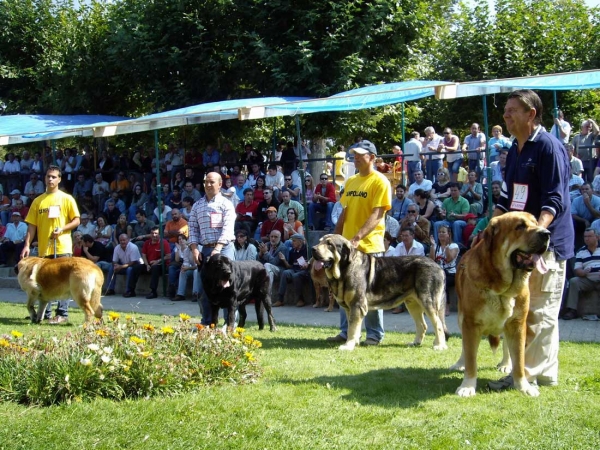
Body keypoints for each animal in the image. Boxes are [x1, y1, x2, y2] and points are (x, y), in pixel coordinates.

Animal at [454, 212, 548, 398]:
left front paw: (523, 386)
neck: (502, 289)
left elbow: (519, 360)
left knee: (507, 348)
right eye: (520, 226)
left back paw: (505, 364)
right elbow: (470, 358)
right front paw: (467, 386)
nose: (546, 233)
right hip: (461, 318)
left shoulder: (517, 324)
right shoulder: (470, 324)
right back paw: (460, 363)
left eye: (536, 223)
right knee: (465, 349)